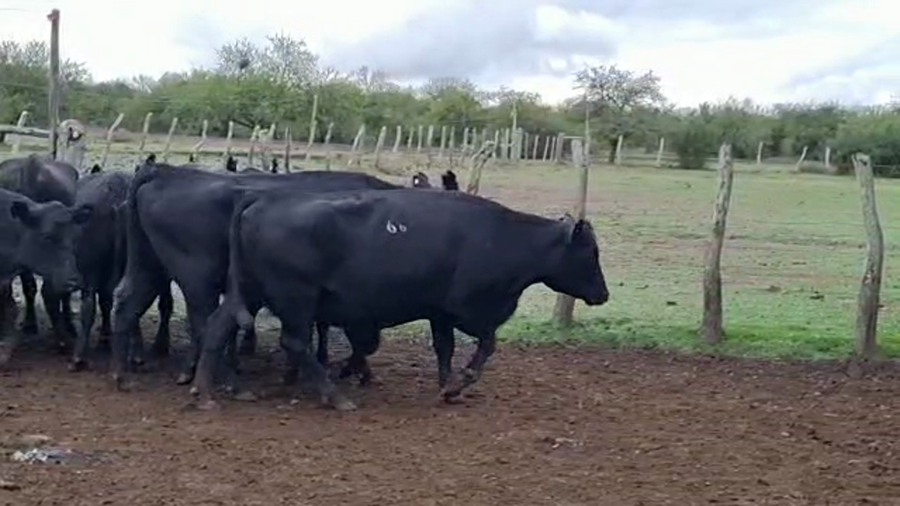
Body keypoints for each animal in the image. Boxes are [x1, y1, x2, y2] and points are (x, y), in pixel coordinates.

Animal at [107, 162, 404, 391]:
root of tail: (165, 172)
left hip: (150, 266)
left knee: (127, 303)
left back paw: (124, 376)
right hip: (197, 278)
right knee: (203, 323)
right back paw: (228, 381)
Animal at [190, 187, 610, 410]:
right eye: (590, 252)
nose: (604, 294)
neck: (503, 237)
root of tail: (262, 199)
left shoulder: (440, 311)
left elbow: (444, 348)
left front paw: (446, 386)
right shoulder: (469, 310)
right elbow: (486, 346)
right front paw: (459, 383)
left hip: (249, 291)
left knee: (216, 328)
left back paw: (207, 392)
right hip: (296, 297)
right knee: (295, 342)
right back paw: (334, 397)